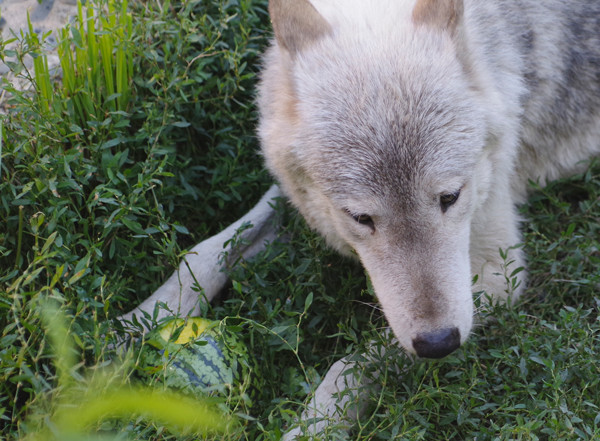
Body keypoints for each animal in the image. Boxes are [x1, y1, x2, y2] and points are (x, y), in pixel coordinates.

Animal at [122, 0, 600, 434]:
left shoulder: (497, 271)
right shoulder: (300, 202)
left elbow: (355, 364)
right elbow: (210, 249)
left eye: (450, 197)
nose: (439, 343)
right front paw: (135, 326)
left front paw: (314, 425)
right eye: (361, 218)